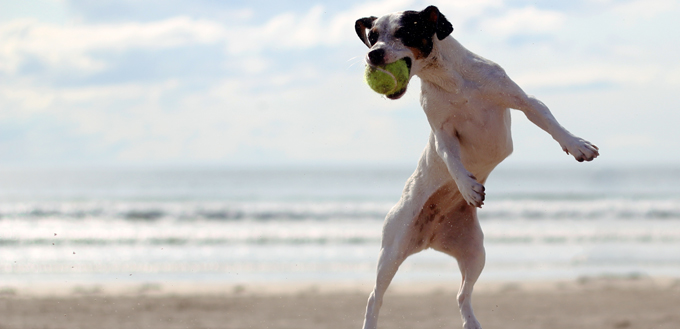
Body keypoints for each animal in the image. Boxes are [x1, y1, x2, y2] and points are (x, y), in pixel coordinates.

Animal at [354, 5, 596, 328]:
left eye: (404, 32)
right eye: (372, 37)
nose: (374, 55)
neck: (450, 80)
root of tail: (428, 239)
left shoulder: (524, 101)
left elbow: (550, 122)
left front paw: (577, 144)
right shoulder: (442, 133)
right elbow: (451, 160)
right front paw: (467, 187)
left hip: (475, 253)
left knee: (462, 295)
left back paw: (471, 322)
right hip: (392, 251)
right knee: (374, 297)